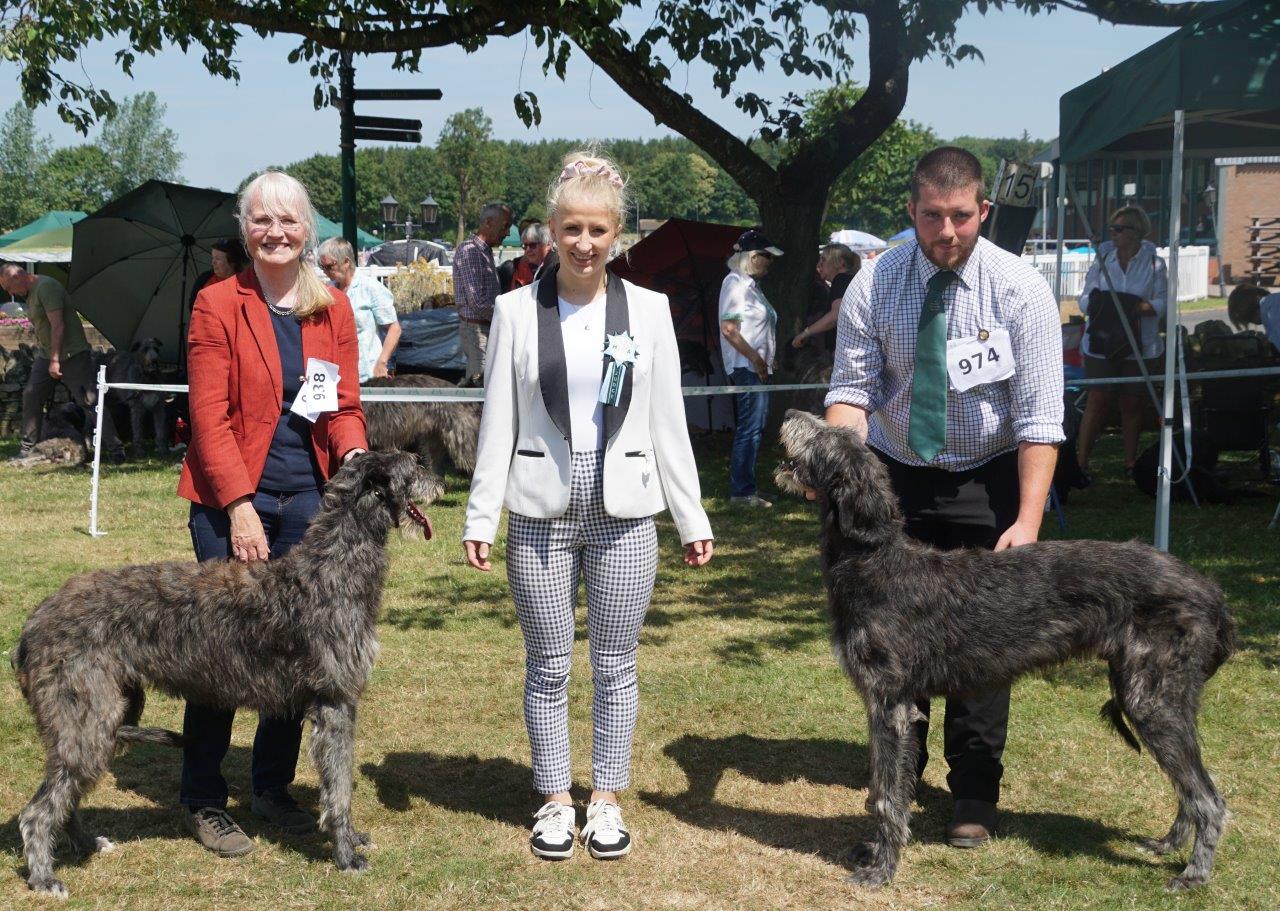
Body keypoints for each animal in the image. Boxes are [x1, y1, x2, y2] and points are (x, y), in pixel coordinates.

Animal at [11, 450, 445, 895]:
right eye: (415, 465)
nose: (443, 483)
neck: (333, 567)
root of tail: (32, 624)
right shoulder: (335, 703)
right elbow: (338, 790)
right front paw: (346, 855)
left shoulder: (337, 704)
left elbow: (337, 783)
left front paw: (353, 839)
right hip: (86, 719)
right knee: (37, 811)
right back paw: (44, 877)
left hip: (107, 716)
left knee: (67, 796)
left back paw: (86, 843)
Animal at [773, 411, 1233, 890]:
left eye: (827, 438)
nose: (789, 415)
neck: (874, 560)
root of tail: (1209, 590)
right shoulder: (892, 705)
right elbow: (887, 788)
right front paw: (875, 850)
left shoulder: (889, 703)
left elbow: (884, 795)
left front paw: (881, 868)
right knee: (1189, 787)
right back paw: (1168, 844)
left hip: (1152, 699)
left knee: (1208, 797)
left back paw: (1194, 873)